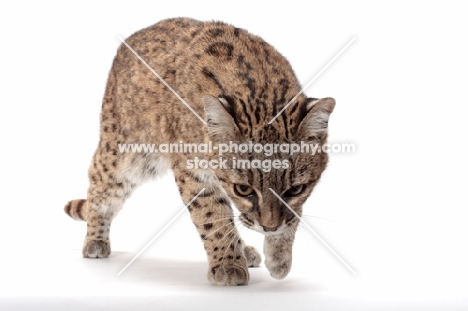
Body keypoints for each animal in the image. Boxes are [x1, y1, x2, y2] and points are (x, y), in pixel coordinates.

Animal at [64, 16, 334, 286]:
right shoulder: (192, 172)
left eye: (296, 189)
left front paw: (279, 255)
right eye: (243, 189)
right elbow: (212, 214)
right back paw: (95, 239)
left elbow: (292, 213)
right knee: (99, 182)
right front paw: (228, 263)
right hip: (126, 155)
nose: (269, 227)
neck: (260, 89)